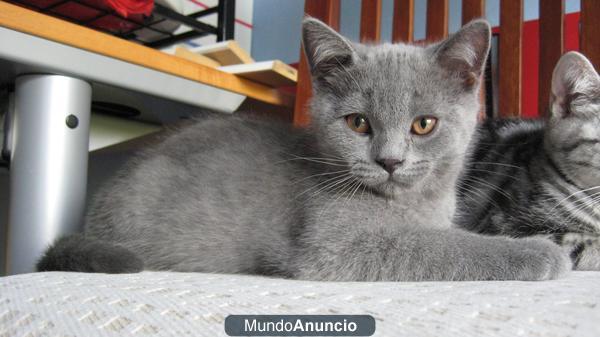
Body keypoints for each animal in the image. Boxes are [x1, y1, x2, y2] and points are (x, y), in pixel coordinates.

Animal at [37, 19, 572, 280]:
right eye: (358, 123)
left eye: (424, 124)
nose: (390, 161)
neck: (415, 204)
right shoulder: (333, 246)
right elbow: (443, 247)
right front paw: (540, 253)